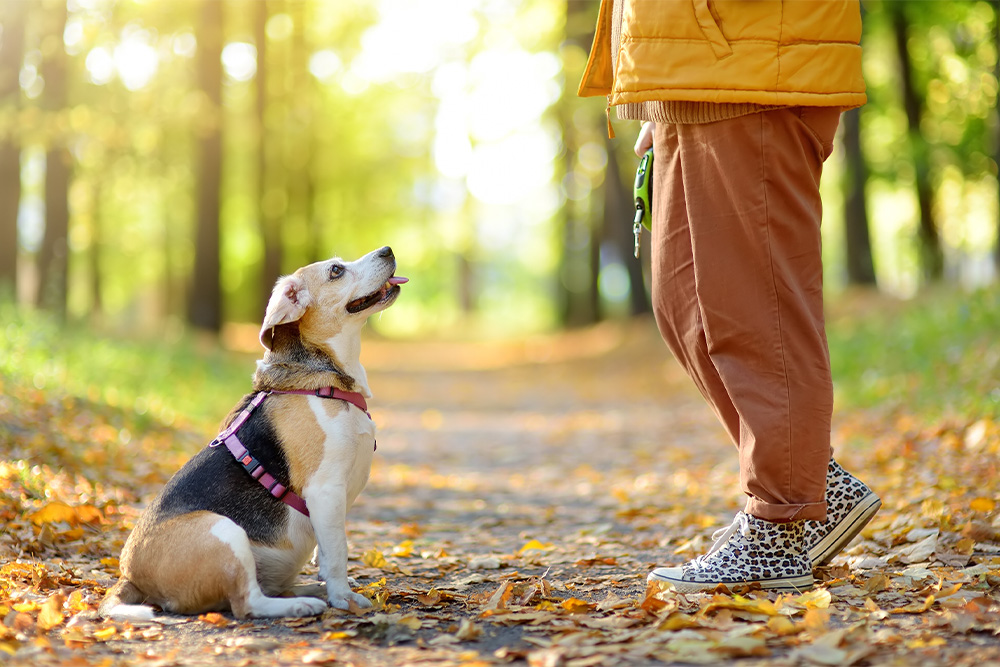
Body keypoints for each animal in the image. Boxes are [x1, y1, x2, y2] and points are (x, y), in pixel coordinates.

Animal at [100, 247, 406, 620]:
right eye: (336, 270)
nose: (387, 250)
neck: (324, 383)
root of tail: (129, 576)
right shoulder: (326, 490)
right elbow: (337, 552)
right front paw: (344, 598)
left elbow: (327, 550)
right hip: (224, 530)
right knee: (247, 603)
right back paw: (302, 604)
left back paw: (307, 591)